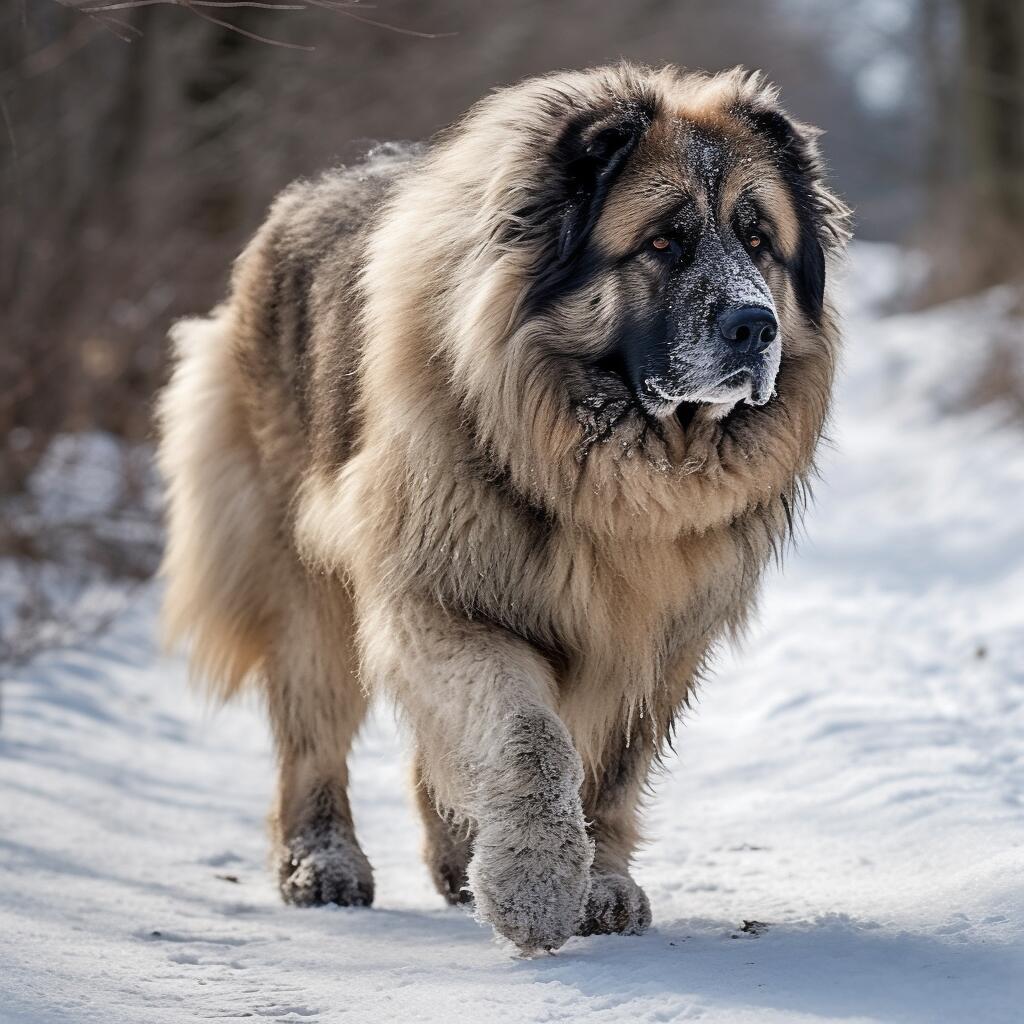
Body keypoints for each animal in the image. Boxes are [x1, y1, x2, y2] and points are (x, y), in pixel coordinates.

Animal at [157, 64, 847, 954]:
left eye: (758, 240)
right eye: (664, 241)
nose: (755, 326)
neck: (615, 469)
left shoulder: (659, 639)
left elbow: (611, 769)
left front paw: (601, 883)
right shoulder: (447, 600)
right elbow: (528, 736)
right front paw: (534, 886)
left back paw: (457, 857)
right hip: (303, 581)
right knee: (313, 732)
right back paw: (323, 863)